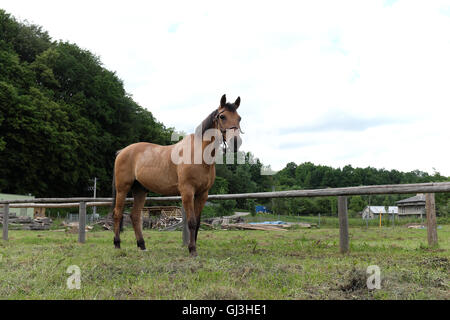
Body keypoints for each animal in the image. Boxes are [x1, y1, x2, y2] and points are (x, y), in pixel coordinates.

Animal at [112, 94, 243, 256]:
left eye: (239, 118)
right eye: (223, 116)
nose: (236, 143)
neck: (198, 154)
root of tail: (122, 151)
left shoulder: (202, 194)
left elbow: (197, 223)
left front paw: (193, 247)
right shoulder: (187, 191)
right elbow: (191, 222)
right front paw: (192, 250)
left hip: (140, 190)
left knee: (135, 216)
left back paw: (142, 245)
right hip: (122, 188)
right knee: (117, 214)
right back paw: (117, 244)